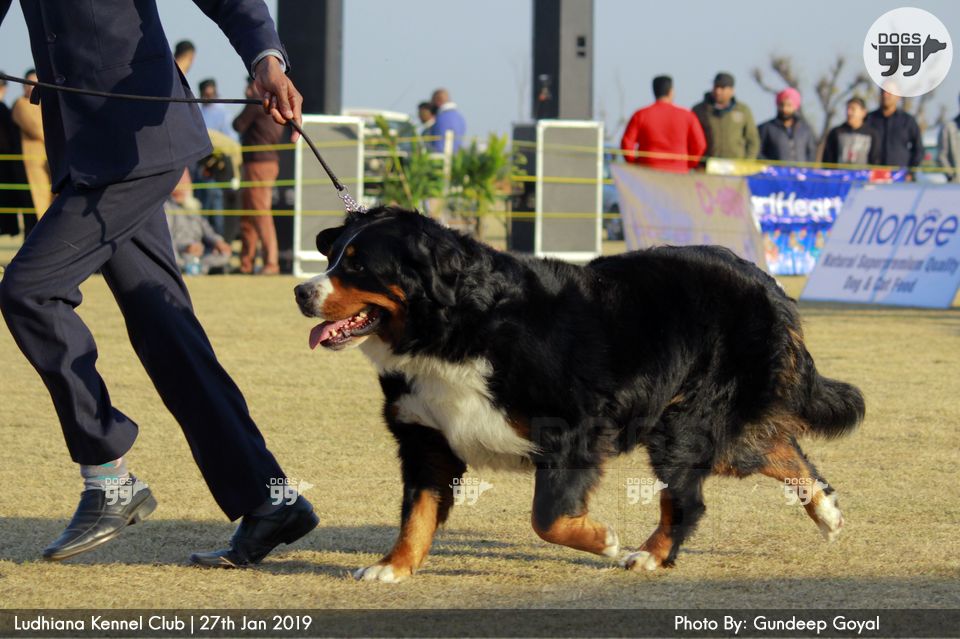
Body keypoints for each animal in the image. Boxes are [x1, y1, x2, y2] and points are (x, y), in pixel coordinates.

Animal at [294, 206, 864, 582]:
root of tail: (765, 280)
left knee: (688, 498)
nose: (301, 291)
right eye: (334, 255)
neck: (454, 327)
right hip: (705, 424)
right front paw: (393, 567)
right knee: (777, 449)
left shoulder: (572, 428)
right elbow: (418, 511)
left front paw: (603, 539)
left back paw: (650, 555)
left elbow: (547, 518)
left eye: (358, 265)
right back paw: (828, 513)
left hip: (686, 421)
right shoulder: (425, 436)